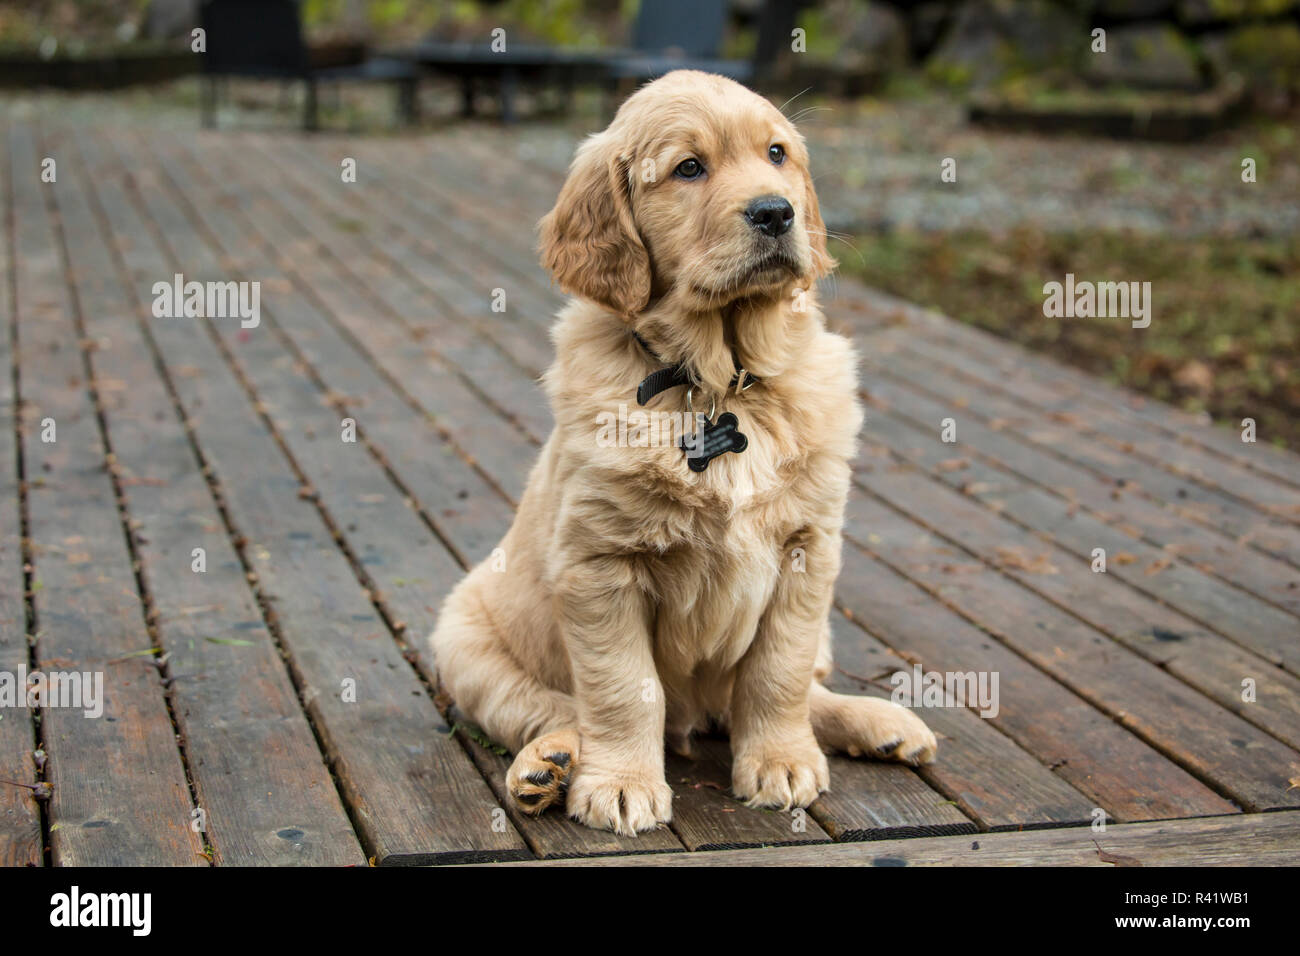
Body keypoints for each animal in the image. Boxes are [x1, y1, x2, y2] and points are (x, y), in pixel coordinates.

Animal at [434, 69, 935, 837]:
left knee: (798, 689)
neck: (719, 380)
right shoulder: (599, 564)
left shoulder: (809, 551)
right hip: (462, 639)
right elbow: (623, 688)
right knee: (546, 708)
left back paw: (879, 723)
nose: (776, 212)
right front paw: (621, 783)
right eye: (689, 169)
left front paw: (781, 760)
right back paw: (549, 765)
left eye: (777, 154)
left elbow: (779, 673)